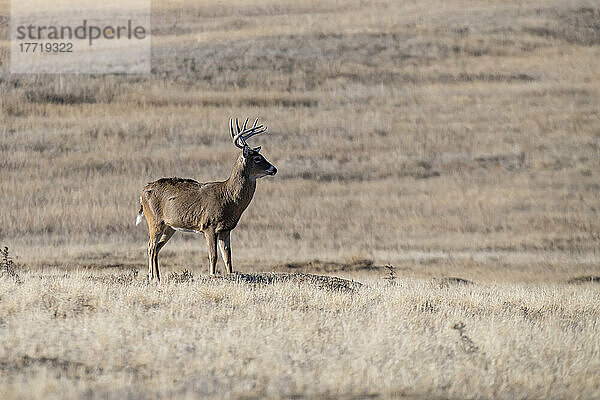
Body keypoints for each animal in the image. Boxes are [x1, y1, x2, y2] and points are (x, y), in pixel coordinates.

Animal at [136, 118, 276, 282]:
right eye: (257, 158)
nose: (274, 169)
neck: (228, 197)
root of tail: (143, 191)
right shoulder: (208, 225)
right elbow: (213, 256)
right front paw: (212, 275)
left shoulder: (226, 229)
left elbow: (228, 257)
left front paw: (230, 275)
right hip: (154, 220)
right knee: (150, 247)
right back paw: (151, 276)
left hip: (170, 226)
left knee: (157, 248)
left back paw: (158, 277)